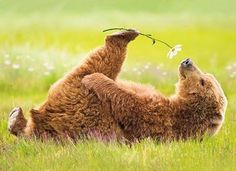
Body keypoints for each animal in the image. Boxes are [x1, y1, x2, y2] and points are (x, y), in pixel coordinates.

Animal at [82, 58, 228, 142]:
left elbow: (131, 104)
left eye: (203, 81)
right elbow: (138, 89)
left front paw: (93, 77)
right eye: (206, 74)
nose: (188, 61)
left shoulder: (162, 116)